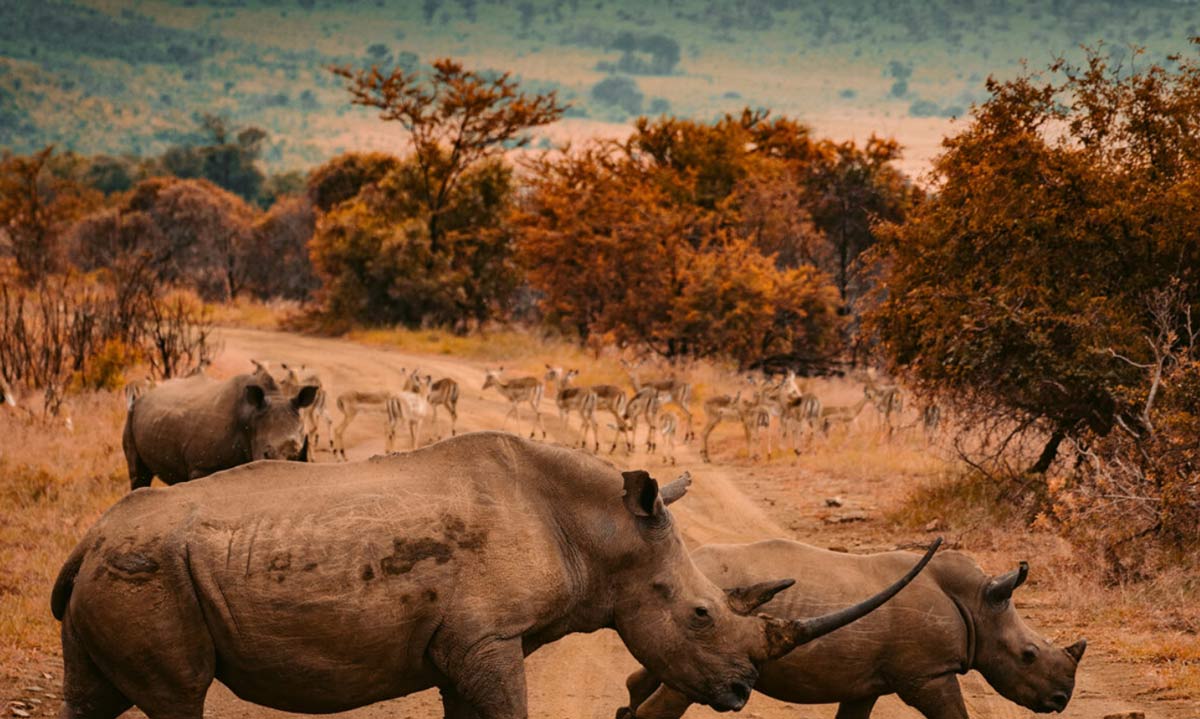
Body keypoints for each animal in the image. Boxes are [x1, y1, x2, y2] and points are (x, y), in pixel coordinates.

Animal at [52, 433, 937, 719]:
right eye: (700, 614)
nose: (741, 690)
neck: (598, 531)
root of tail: (88, 537)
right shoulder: (488, 637)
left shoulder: (460, 644)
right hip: (149, 574)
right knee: (177, 697)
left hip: (121, 571)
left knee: (95, 698)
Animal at [123, 371, 318, 489]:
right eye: (266, 454)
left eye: (298, 455)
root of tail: (144, 395)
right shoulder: (201, 467)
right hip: (132, 414)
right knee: (139, 475)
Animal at [618, 539, 1086, 719]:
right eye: (1028, 655)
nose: (1060, 701)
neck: (978, 605)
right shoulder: (928, 673)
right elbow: (955, 715)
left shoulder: (865, 681)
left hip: (685, 618)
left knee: (657, 671)